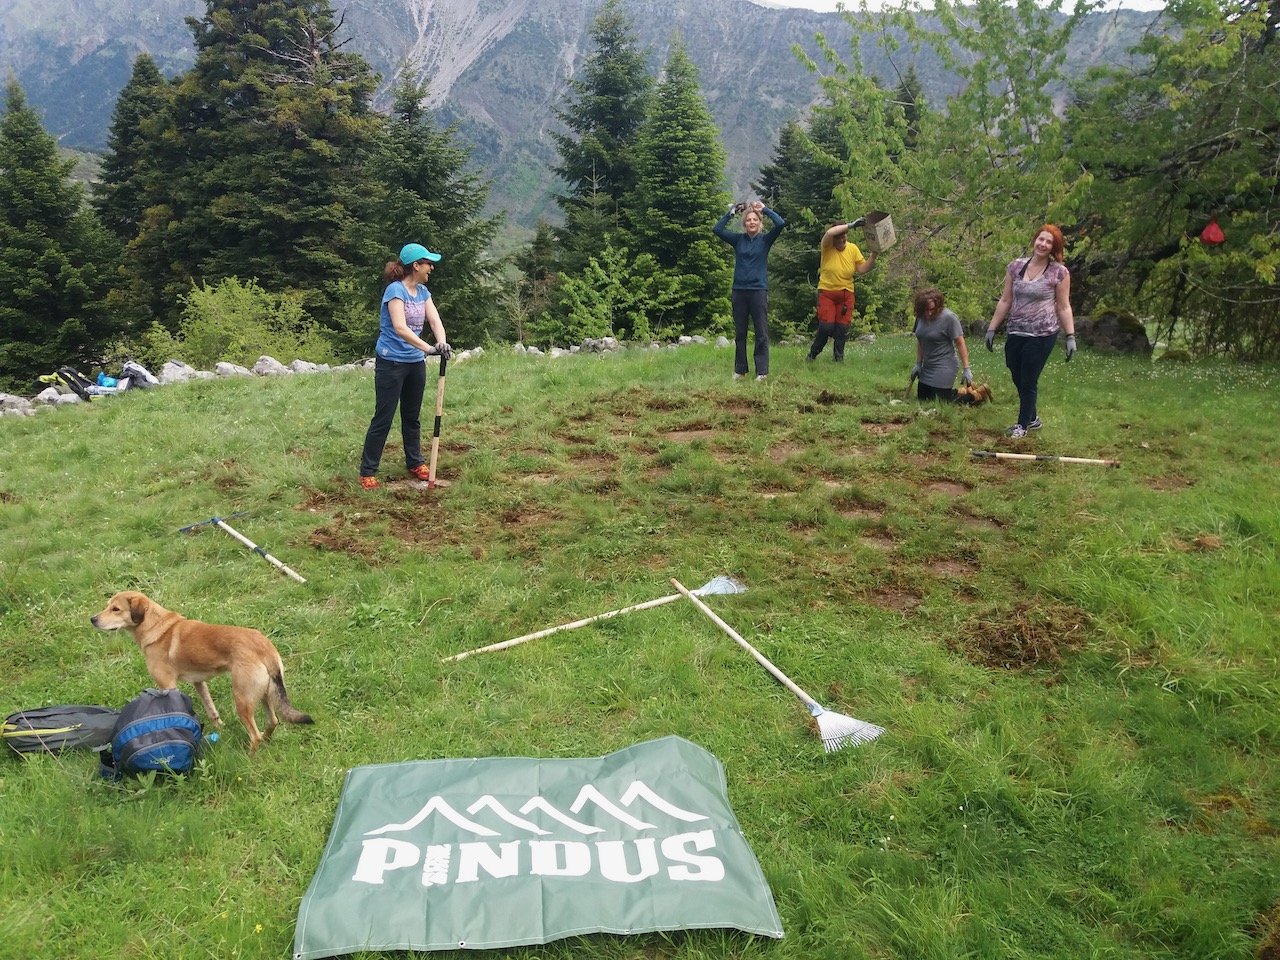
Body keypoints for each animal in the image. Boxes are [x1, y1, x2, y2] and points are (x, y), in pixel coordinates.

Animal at [90, 591, 312, 757]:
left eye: (115, 609)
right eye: (108, 606)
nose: (92, 619)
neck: (156, 626)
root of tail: (264, 647)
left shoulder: (167, 685)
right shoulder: (199, 682)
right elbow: (212, 710)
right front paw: (218, 728)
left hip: (242, 699)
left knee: (255, 735)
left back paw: (249, 756)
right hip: (266, 694)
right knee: (272, 722)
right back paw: (265, 741)